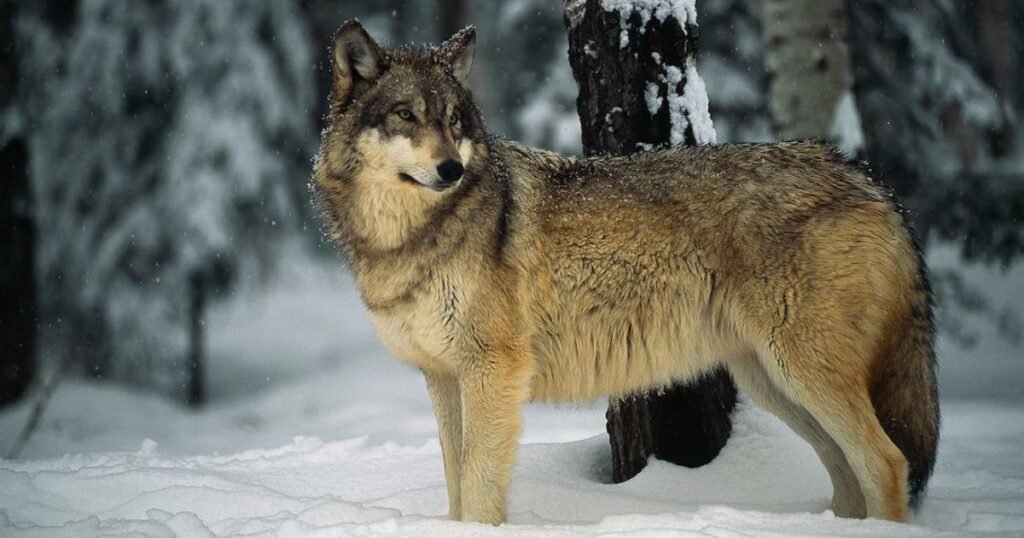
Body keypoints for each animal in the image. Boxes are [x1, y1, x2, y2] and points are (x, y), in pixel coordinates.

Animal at [313, 20, 940, 526]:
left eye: (453, 121)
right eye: (406, 117)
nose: (451, 169)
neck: (411, 239)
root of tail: (868, 181)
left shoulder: (492, 371)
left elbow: (478, 489)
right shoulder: (443, 377)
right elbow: (454, 484)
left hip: (802, 371)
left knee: (887, 461)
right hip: (773, 382)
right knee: (847, 471)